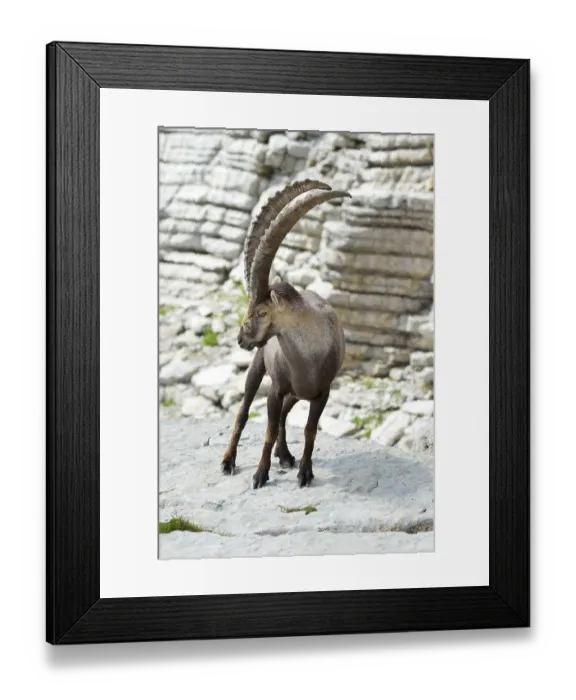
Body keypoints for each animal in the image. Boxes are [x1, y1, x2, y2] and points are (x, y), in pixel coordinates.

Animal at [221, 179, 352, 488]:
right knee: (243, 412)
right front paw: (260, 474)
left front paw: (305, 472)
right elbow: (267, 429)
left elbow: (309, 431)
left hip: (298, 393)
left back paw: (285, 455)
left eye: (261, 313)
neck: (308, 357)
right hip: (259, 369)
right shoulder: (276, 389)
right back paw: (229, 460)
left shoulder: (322, 393)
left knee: (283, 416)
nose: (241, 339)